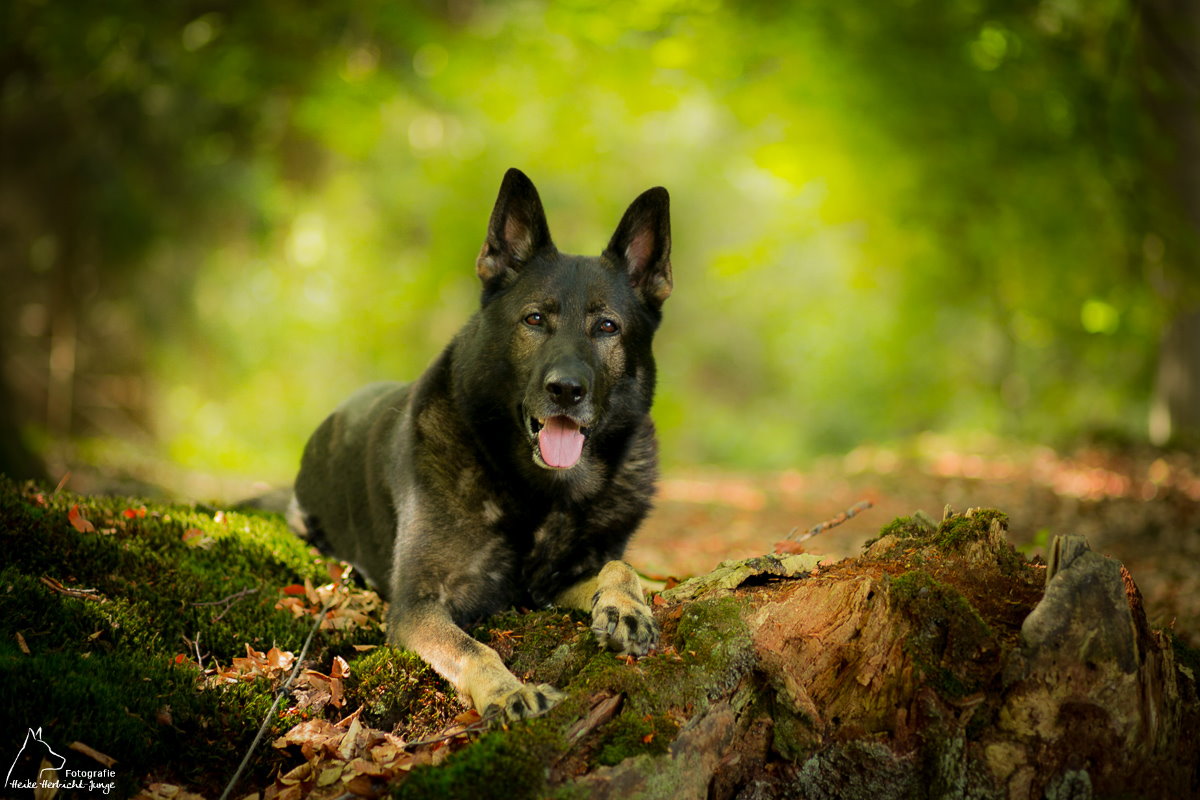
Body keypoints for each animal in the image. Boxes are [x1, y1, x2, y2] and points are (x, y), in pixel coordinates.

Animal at [286, 169, 672, 719]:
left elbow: (619, 565)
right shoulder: (418, 606)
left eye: (607, 326)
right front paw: (509, 689)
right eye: (534, 319)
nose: (566, 390)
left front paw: (627, 607)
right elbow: (473, 647)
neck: (537, 494)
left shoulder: (551, 586)